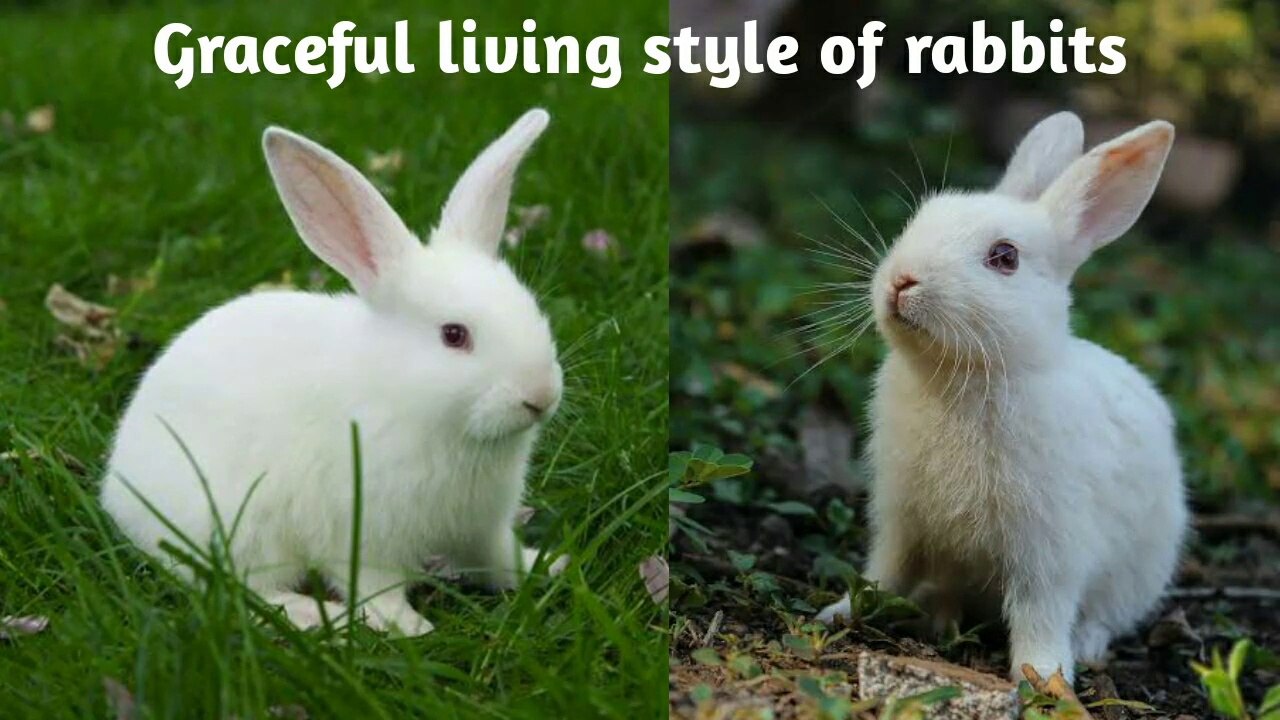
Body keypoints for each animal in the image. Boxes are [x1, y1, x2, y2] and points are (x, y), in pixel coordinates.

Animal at [100, 108, 567, 636]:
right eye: (454, 335)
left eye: (532, 309)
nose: (541, 396)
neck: (405, 398)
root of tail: (117, 490)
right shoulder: (363, 534)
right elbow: (375, 588)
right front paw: (409, 627)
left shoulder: (482, 526)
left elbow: (499, 559)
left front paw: (548, 567)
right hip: (241, 531)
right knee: (237, 590)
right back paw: (310, 615)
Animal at [814, 112, 1187, 685]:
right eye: (920, 219)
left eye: (1004, 257)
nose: (902, 280)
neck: (960, 376)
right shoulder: (901, 519)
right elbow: (884, 572)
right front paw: (838, 612)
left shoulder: (1048, 548)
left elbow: (1040, 611)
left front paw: (1044, 676)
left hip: (1139, 570)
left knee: (1104, 615)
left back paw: (1086, 646)